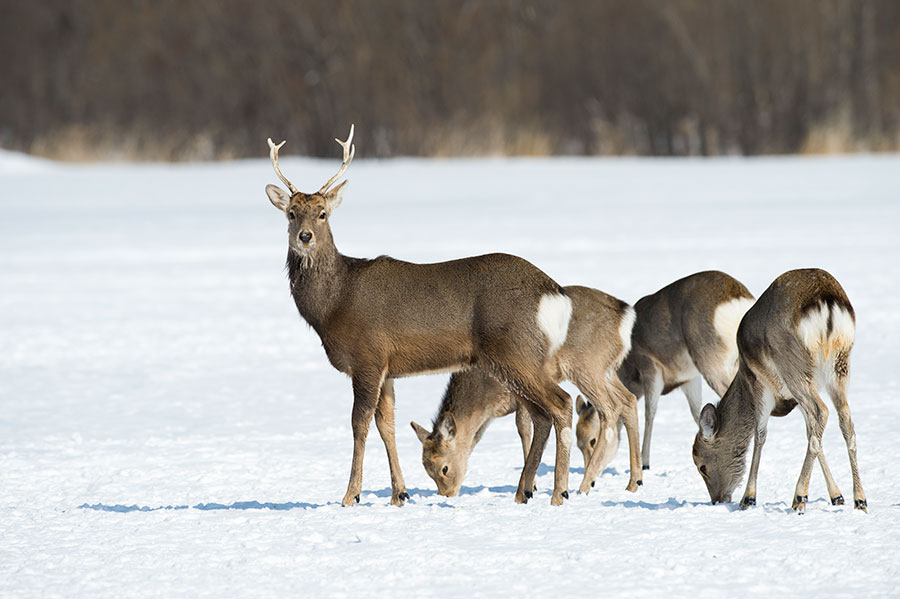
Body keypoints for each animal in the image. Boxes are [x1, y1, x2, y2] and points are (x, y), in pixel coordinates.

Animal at [268, 125, 572, 506]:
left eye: (322, 213)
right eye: (291, 213)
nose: (304, 237)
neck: (335, 303)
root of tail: (551, 289)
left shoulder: (367, 356)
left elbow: (358, 424)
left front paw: (350, 495)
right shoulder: (387, 368)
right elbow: (386, 425)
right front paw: (400, 493)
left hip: (514, 348)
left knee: (561, 403)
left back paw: (558, 492)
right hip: (516, 358)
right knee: (540, 414)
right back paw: (523, 492)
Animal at [412, 286, 644, 496]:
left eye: (444, 468)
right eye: (426, 470)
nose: (447, 494)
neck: (484, 397)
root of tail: (625, 314)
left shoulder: (518, 392)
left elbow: (524, 428)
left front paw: (530, 485)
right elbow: (477, 438)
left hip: (587, 365)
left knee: (611, 407)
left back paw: (586, 483)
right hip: (607, 369)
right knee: (629, 399)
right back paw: (634, 482)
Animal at [688, 270, 864, 512]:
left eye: (701, 466)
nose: (717, 499)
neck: (742, 377)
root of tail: (827, 301)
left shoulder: (760, 383)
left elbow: (760, 434)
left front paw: (748, 498)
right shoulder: (794, 400)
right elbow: (811, 433)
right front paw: (837, 496)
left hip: (792, 364)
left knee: (822, 411)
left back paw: (799, 497)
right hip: (839, 365)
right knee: (845, 420)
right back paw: (860, 500)